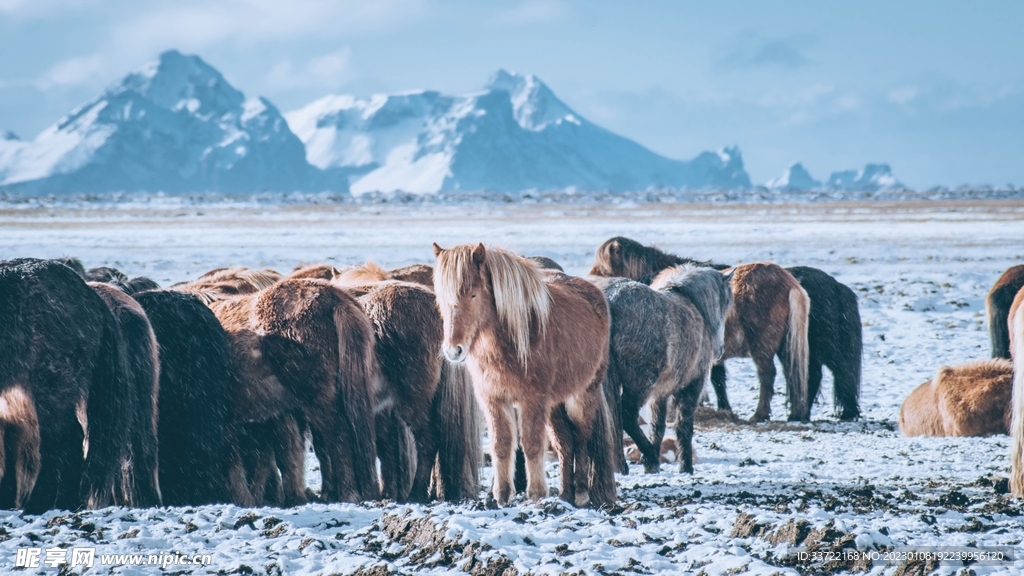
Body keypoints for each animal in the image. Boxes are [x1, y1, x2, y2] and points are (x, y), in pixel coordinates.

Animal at [328, 262, 482, 502]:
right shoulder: (381, 409)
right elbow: (387, 450)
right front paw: (388, 492)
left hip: (414, 400)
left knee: (428, 441)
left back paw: (416, 493)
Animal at [433, 243, 616, 507]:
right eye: (442, 298)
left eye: (473, 295)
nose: (453, 350)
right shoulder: (494, 400)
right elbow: (501, 445)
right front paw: (501, 496)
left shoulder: (533, 400)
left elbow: (531, 445)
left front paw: (537, 494)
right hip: (555, 405)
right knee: (565, 444)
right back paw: (565, 494)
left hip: (582, 395)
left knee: (581, 438)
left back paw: (580, 493)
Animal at [590, 237, 811, 422]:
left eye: (602, 270)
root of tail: (789, 281)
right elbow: (718, 380)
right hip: (785, 345)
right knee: (793, 375)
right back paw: (795, 414)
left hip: (762, 347)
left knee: (768, 376)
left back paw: (760, 415)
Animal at [596, 264, 733, 475]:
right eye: (726, 301)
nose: (720, 349)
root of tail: (610, 300)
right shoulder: (693, 385)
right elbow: (684, 425)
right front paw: (685, 467)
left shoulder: (660, 394)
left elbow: (657, 427)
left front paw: (651, 466)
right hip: (639, 384)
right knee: (626, 416)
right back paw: (649, 454)